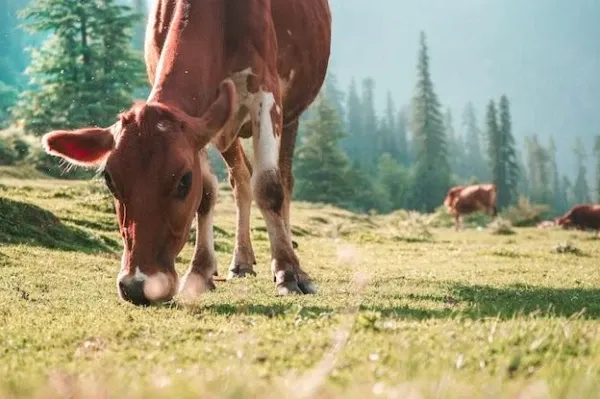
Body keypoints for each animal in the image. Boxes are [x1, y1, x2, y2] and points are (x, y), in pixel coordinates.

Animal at [41, 0, 332, 306]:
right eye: (109, 180)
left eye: (183, 181)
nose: (137, 286)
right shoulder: (201, 120)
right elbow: (207, 194)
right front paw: (199, 271)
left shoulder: (266, 89)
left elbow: (268, 186)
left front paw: (289, 272)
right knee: (241, 180)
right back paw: (241, 261)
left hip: (291, 113)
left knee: (284, 181)